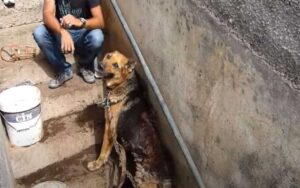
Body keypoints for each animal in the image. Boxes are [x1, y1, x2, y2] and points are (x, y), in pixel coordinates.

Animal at [88, 51, 170, 188]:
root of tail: (164, 177)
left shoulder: (110, 128)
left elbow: (104, 149)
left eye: (116, 65)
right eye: (108, 56)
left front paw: (97, 164)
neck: (122, 84)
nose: (99, 65)